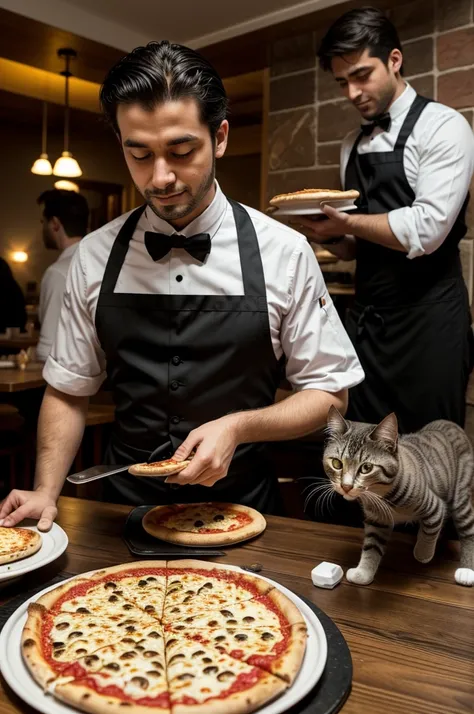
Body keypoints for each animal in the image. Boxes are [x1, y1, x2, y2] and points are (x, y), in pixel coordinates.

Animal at [322, 406, 474, 584]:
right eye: (336, 463)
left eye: (366, 467)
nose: (346, 486)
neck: (381, 495)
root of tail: (450, 424)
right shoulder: (377, 520)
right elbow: (372, 546)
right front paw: (363, 573)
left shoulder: (435, 505)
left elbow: (430, 529)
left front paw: (423, 553)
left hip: (460, 494)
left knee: (467, 528)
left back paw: (467, 571)